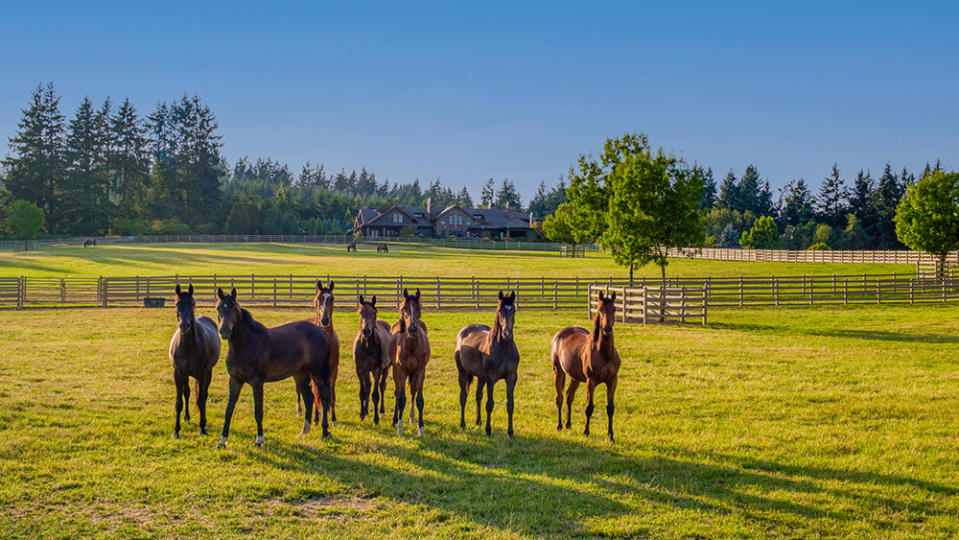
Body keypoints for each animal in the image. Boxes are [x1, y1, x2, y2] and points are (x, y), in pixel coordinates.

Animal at [171, 284, 221, 436]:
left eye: (192, 304)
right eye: (177, 304)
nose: (184, 326)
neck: (188, 345)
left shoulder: (201, 373)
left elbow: (200, 400)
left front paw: (202, 429)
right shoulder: (178, 373)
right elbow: (179, 402)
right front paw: (176, 431)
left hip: (208, 373)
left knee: (203, 395)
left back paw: (204, 422)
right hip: (186, 375)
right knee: (187, 393)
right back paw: (187, 417)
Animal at [216, 286, 336, 448]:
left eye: (233, 308)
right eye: (219, 308)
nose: (224, 331)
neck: (246, 344)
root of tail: (322, 332)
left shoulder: (257, 382)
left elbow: (258, 411)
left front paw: (259, 440)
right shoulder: (235, 381)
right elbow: (229, 410)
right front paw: (222, 441)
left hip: (316, 372)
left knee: (324, 394)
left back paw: (325, 431)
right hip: (300, 374)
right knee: (309, 397)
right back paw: (304, 431)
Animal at [392, 288, 434, 436]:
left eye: (418, 307)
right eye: (403, 308)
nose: (412, 329)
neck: (411, 346)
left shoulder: (420, 371)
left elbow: (419, 399)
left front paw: (421, 429)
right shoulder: (401, 371)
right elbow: (401, 398)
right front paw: (399, 428)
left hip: (414, 374)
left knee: (412, 391)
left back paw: (412, 417)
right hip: (395, 372)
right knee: (397, 392)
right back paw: (394, 420)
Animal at [456, 288, 516, 436]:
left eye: (513, 310)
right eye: (500, 310)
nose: (507, 333)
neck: (504, 349)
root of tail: (464, 330)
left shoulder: (511, 378)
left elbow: (510, 404)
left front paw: (510, 432)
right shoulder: (491, 379)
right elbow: (490, 404)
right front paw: (488, 430)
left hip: (481, 377)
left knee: (478, 396)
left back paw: (478, 421)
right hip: (462, 372)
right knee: (463, 396)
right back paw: (463, 424)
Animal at [552, 292, 628, 438]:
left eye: (614, 309)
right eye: (600, 310)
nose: (607, 329)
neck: (604, 353)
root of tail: (559, 335)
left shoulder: (612, 380)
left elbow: (610, 408)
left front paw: (611, 435)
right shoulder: (590, 381)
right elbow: (589, 407)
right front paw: (586, 431)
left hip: (575, 377)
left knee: (569, 397)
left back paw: (568, 424)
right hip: (558, 372)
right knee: (559, 398)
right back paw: (559, 425)